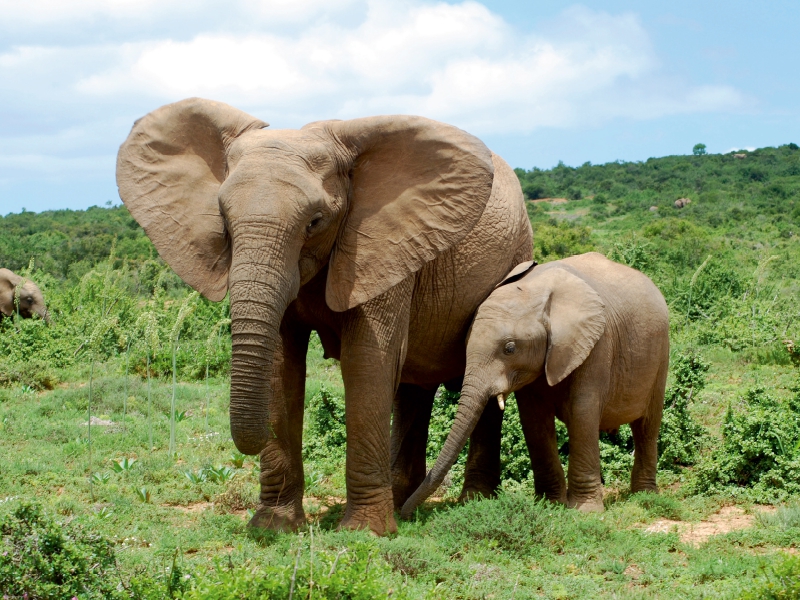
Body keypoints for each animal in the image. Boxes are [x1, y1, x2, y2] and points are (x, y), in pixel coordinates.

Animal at [117, 98, 532, 536]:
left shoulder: (378, 245)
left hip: (516, 253)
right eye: (223, 221)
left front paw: (363, 532)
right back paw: (403, 502)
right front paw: (273, 526)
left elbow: (366, 362)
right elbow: (281, 365)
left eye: (315, 222)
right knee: (412, 387)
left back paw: (472, 502)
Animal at [404, 251, 672, 516]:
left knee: (647, 426)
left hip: (661, 354)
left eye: (509, 348)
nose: (406, 513)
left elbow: (582, 412)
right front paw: (550, 504)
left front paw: (584, 512)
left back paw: (645, 495)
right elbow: (534, 419)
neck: (537, 289)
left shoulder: (598, 343)